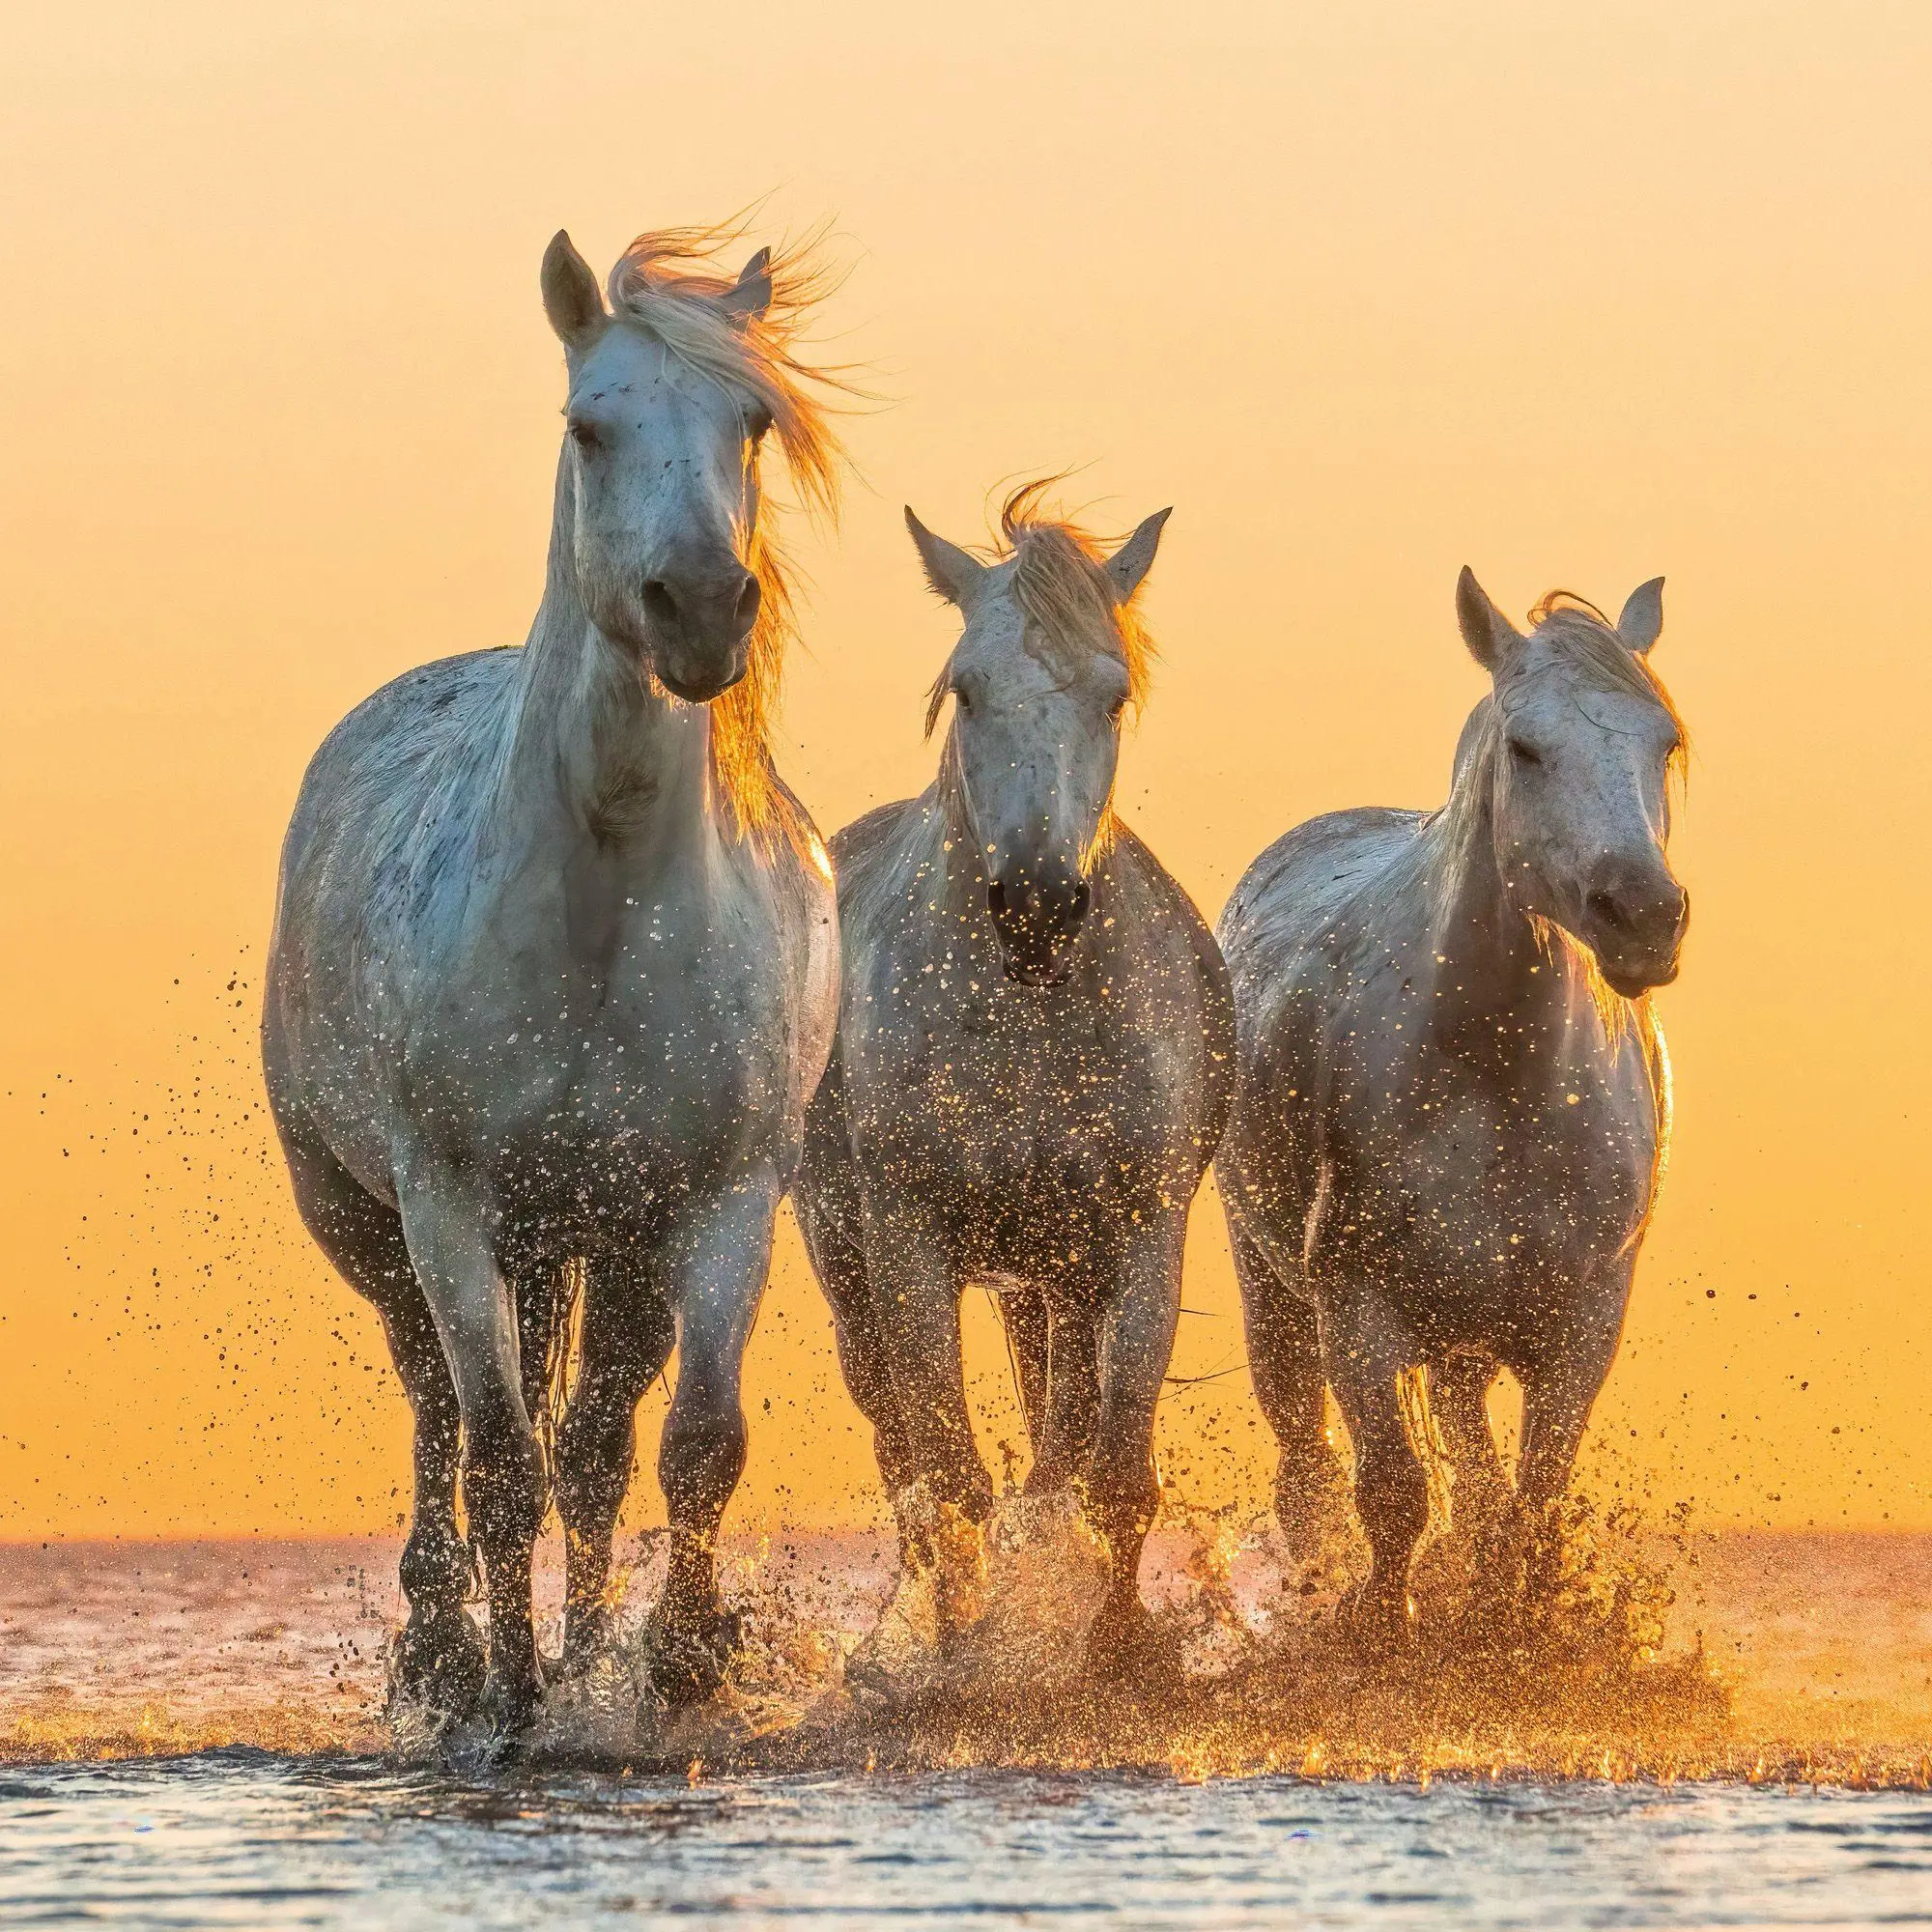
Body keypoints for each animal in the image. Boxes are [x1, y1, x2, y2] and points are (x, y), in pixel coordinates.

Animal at [262, 223, 846, 1737]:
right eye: (590, 425)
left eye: (751, 423)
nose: (698, 610)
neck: (604, 907)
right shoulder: (450, 1204)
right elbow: (496, 1456)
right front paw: (509, 1696)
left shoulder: (720, 1199)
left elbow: (691, 1444)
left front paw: (676, 1668)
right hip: (383, 1228)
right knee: (441, 1415)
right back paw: (444, 1656)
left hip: (602, 1240)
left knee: (591, 1442)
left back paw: (588, 1655)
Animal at [794, 485, 1234, 1677]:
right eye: (964, 687)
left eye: (1113, 692)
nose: (1036, 904)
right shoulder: (909, 1244)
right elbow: (949, 1476)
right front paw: (966, 1653)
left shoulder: (1139, 1241)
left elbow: (1111, 1471)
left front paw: (1118, 1651)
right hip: (853, 1266)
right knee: (902, 1452)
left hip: (1055, 1277)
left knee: (1058, 1430)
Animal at [1214, 570, 1688, 1640]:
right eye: (1525, 747)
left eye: (1663, 742)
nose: (1643, 915)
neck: (1496, 1078)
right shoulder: (1357, 1307)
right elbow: (1391, 1491)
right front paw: (1380, 1633)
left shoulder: (1582, 1319)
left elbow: (1526, 1502)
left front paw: (1505, 1635)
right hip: (1276, 1290)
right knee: (1306, 1471)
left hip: (1466, 1329)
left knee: (1471, 1463)